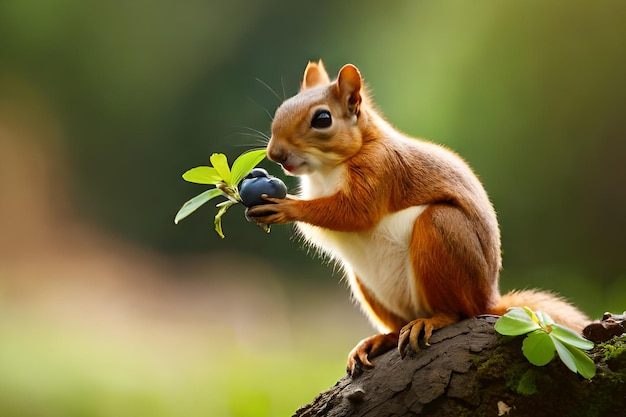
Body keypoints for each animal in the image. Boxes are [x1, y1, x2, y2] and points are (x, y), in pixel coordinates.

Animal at [245, 61, 588, 374]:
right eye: (282, 108)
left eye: (322, 119)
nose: (275, 154)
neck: (328, 169)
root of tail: (489, 299)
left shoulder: (381, 170)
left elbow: (354, 212)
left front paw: (286, 207)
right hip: (367, 284)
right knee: (397, 324)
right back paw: (379, 339)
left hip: (440, 231)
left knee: (459, 311)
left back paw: (433, 320)